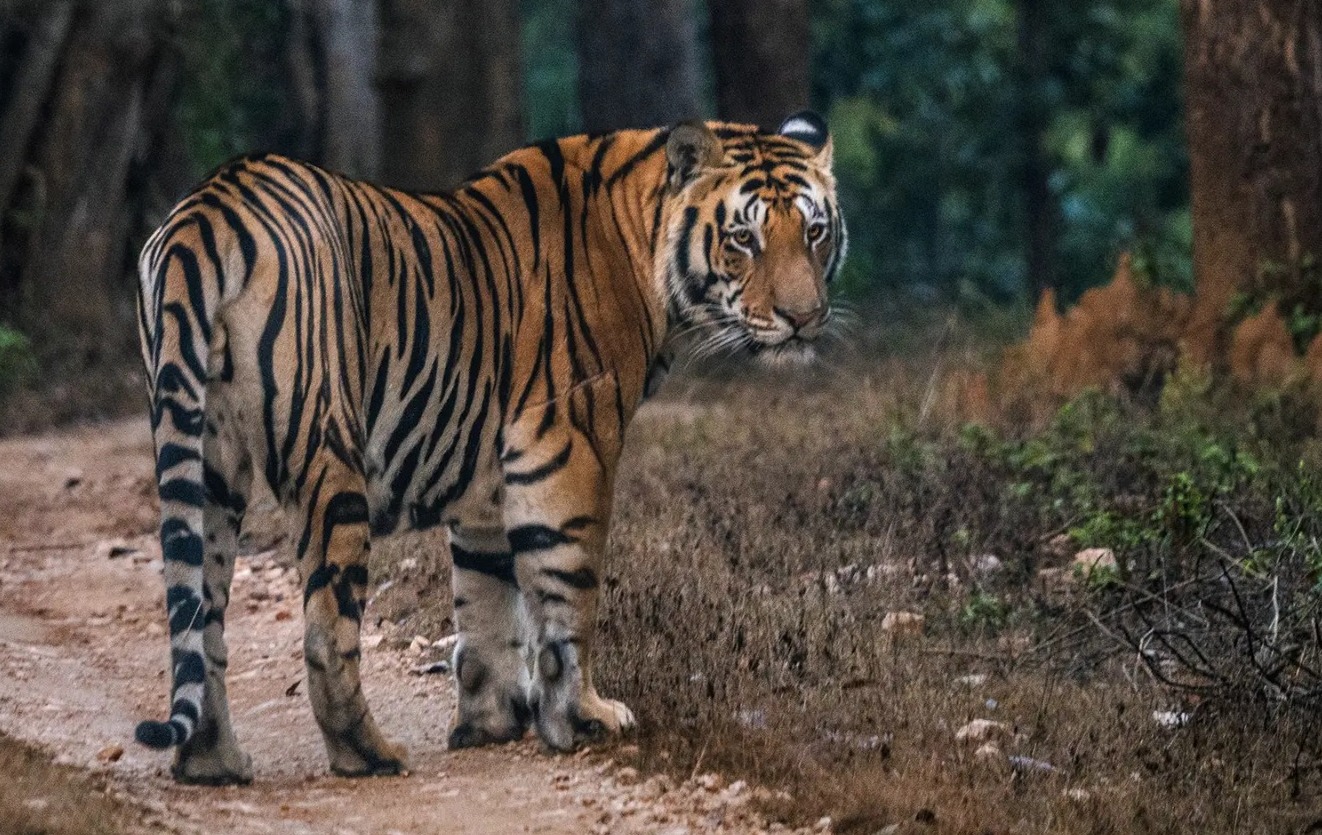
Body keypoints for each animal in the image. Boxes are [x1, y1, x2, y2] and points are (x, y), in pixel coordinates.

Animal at [134, 111, 846, 784]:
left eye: (815, 231)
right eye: (744, 238)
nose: (804, 318)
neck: (643, 238)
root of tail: (209, 208)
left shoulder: (485, 483)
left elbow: (485, 605)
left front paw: (490, 723)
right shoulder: (567, 445)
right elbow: (567, 592)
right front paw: (583, 717)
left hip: (206, 460)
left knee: (199, 615)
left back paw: (213, 762)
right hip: (327, 454)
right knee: (325, 631)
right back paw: (369, 754)